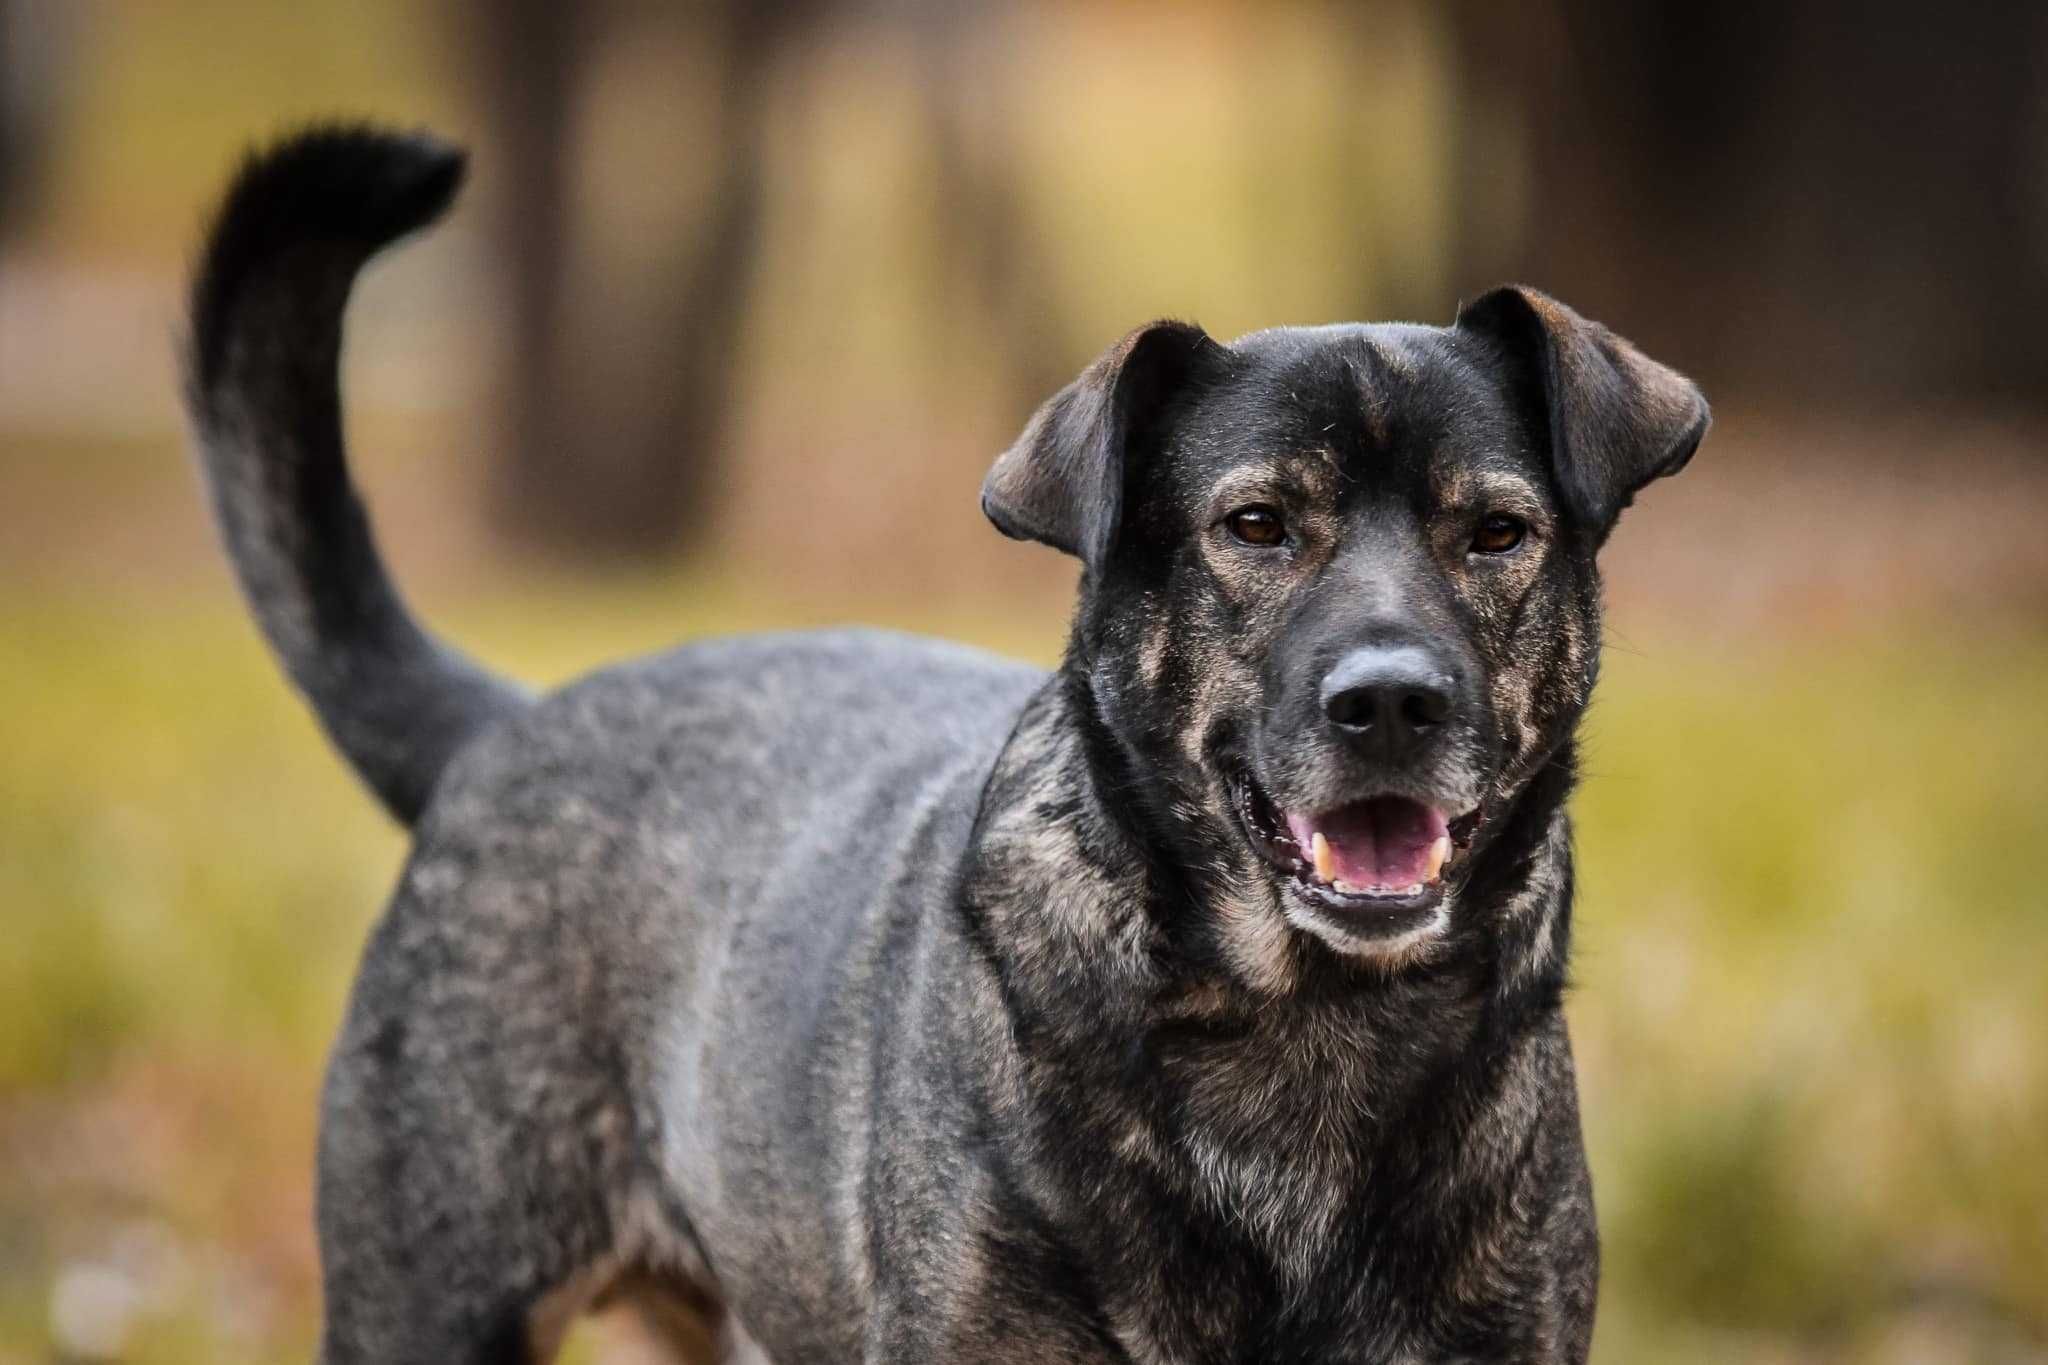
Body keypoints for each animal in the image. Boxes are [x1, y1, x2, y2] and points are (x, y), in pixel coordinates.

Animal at [188, 127, 1695, 1365]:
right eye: (1257, 525)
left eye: (1494, 531)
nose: (1391, 702)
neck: (1305, 1028)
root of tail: (506, 723)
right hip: (432, 1304)